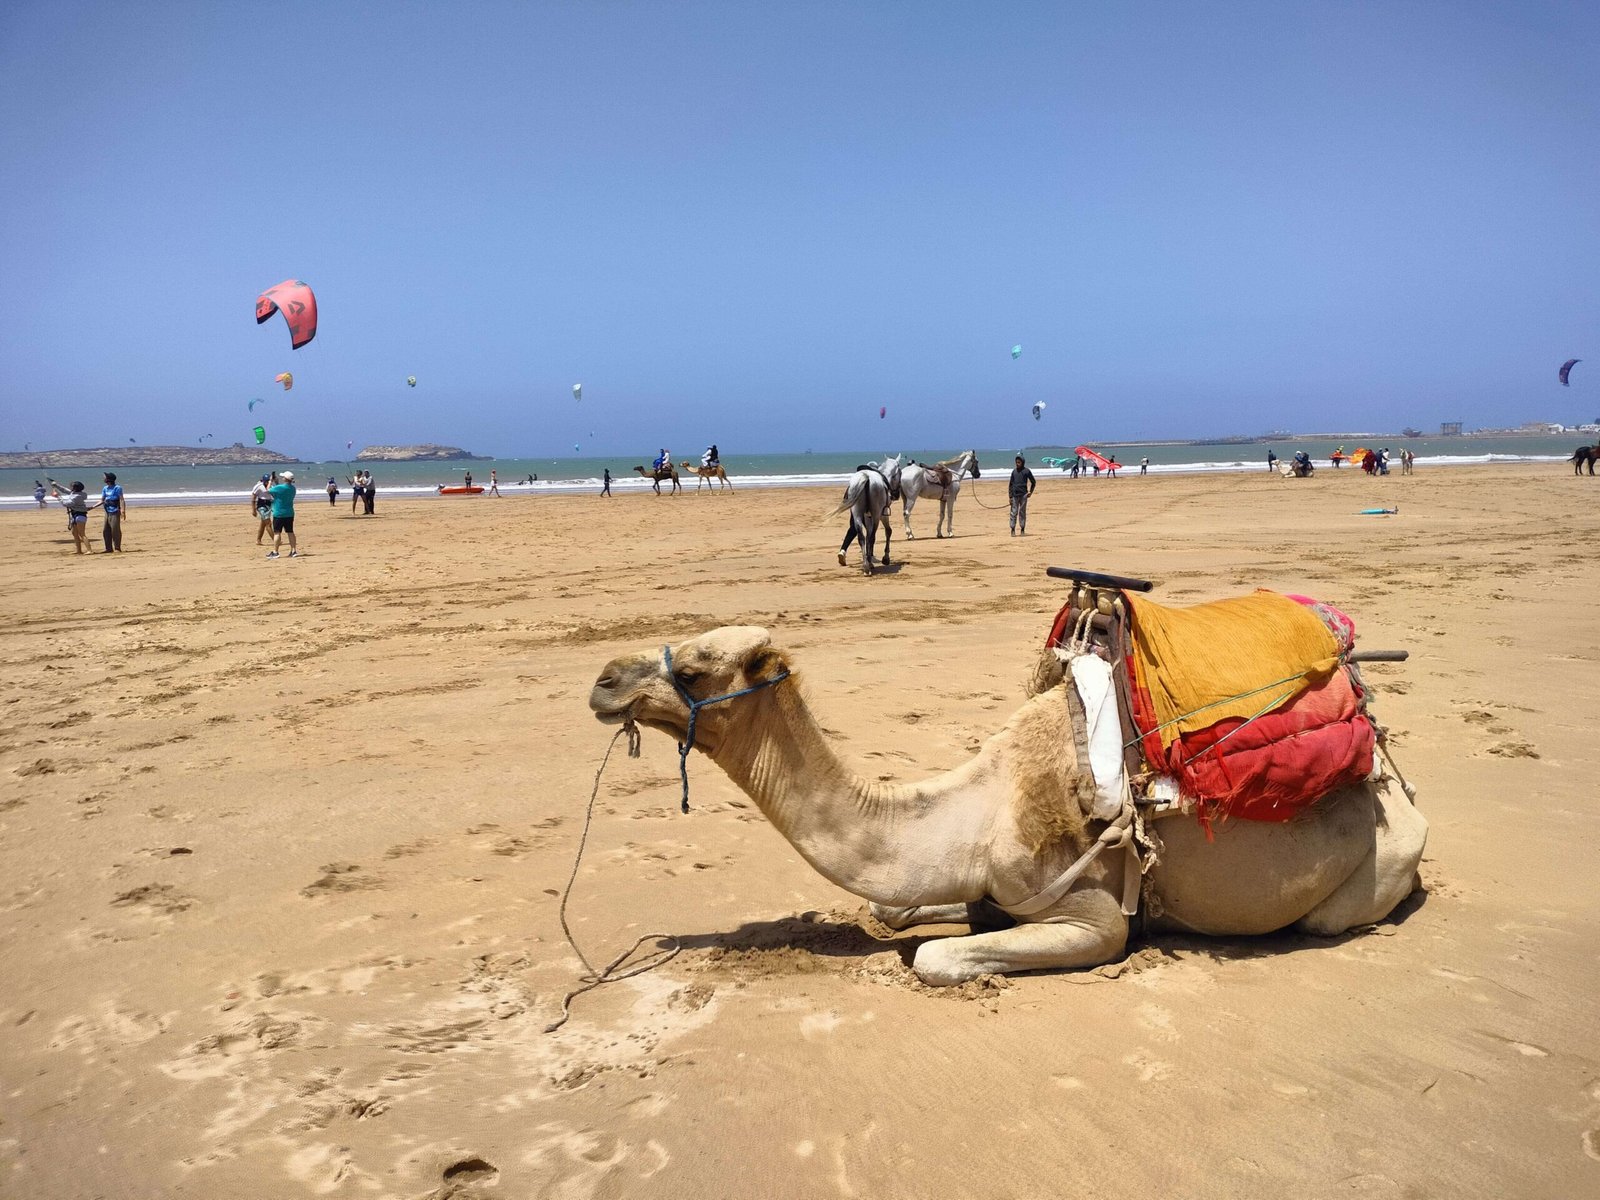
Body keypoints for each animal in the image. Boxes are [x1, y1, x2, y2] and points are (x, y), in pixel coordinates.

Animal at [589, 626, 1428, 986]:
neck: (975, 810)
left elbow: (934, 957)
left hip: (1374, 869)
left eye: (694, 670)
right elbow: (899, 911)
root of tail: (1402, 794)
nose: (603, 681)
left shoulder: (1091, 915)